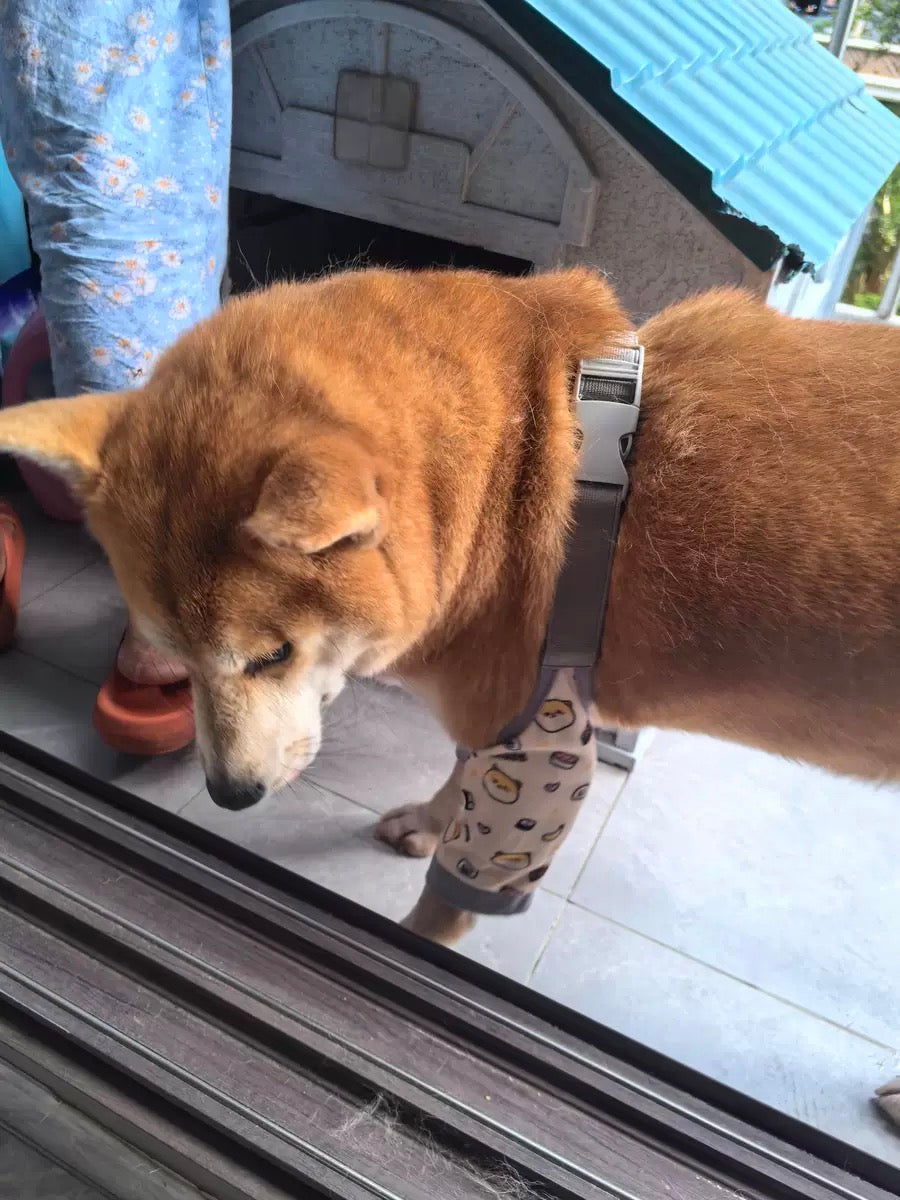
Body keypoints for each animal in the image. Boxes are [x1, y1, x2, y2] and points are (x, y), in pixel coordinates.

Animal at [1, 266, 898, 948]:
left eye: (272, 656)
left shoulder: (548, 746)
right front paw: (432, 822)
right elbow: (461, 773)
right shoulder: (496, 716)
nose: (229, 797)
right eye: (174, 657)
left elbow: (450, 899)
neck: (521, 463)